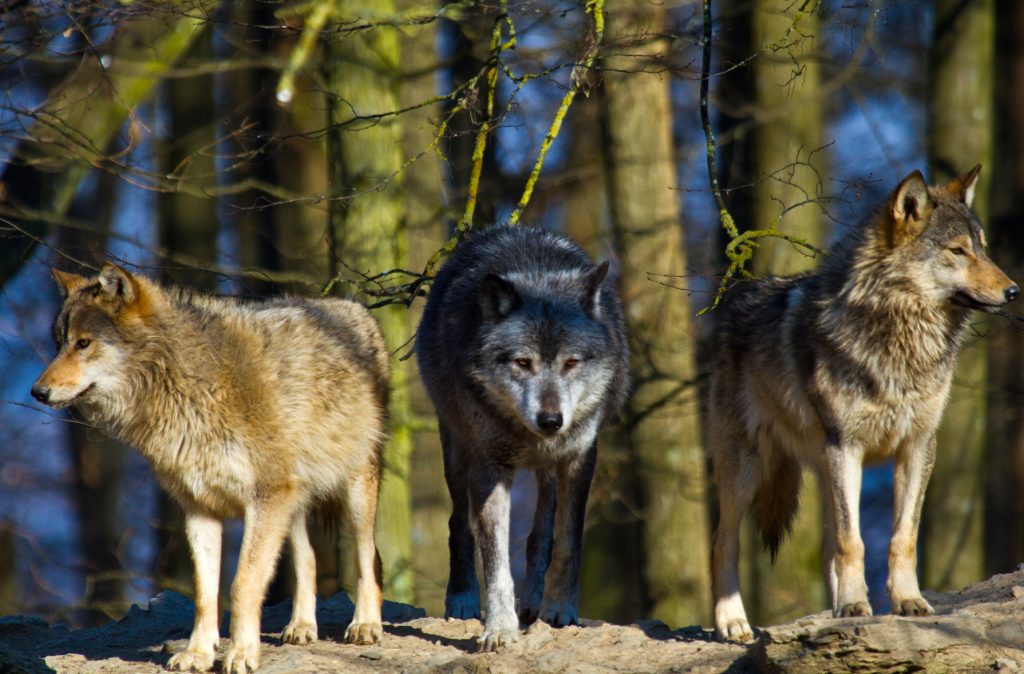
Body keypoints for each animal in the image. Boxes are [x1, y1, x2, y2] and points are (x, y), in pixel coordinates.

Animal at [31, 263, 390, 673]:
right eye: (59, 342)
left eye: (84, 343)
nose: (37, 392)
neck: (188, 385)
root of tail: (351, 306)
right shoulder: (200, 507)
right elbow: (205, 592)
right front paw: (198, 653)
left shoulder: (264, 500)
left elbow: (243, 583)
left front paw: (242, 653)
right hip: (292, 502)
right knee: (308, 557)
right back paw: (301, 626)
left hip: (353, 491)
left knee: (368, 555)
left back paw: (365, 624)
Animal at [416, 225, 629, 651]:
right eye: (522, 362)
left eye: (571, 362)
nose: (551, 420)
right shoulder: (489, 467)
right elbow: (496, 560)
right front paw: (499, 629)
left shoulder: (579, 458)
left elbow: (568, 540)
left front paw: (560, 609)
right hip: (457, 454)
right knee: (458, 523)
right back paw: (463, 598)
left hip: (549, 469)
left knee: (540, 535)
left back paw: (534, 602)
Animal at [709, 165, 1019, 641]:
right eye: (957, 251)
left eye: (982, 248)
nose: (1014, 291)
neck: (902, 340)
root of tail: (736, 299)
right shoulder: (846, 447)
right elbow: (852, 541)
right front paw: (855, 605)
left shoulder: (918, 445)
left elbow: (901, 537)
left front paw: (907, 601)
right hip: (749, 468)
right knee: (724, 543)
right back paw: (733, 622)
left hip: (818, 470)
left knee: (827, 545)